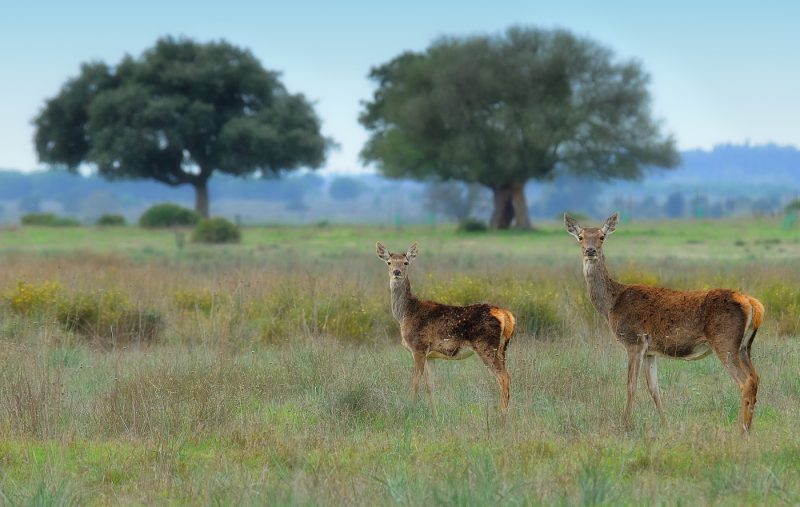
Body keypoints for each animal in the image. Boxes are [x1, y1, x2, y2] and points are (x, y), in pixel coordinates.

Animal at [376, 242, 516, 412]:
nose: (396, 272)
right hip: (502, 348)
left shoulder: (418, 347)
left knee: (504, 377)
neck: (405, 314)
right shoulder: (430, 356)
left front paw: (411, 408)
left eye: (405, 262)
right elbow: (431, 386)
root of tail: (507, 315)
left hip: (486, 345)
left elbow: (415, 382)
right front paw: (434, 412)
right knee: (507, 375)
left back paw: (502, 412)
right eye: (389, 262)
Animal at [564, 213, 764, 432]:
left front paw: (625, 425)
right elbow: (654, 389)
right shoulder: (650, 351)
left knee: (745, 382)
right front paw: (666, 424)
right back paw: (748, 427)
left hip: (724, 340)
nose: (590, 250)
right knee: (756, 378)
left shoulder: (634, 341)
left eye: (602, 236)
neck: (611, 305)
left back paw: (741, 430)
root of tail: (752, 304)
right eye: (581, 237)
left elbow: (631, 385)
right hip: (744, 346)